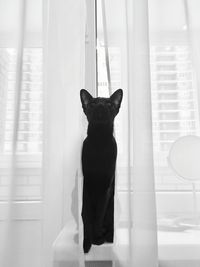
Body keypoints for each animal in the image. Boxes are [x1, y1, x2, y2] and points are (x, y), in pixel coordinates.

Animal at [80, 89, 122, 254]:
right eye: (92, 103)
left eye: (109, 104)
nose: (100, 106)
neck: (99, 141)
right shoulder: (87, 184)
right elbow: (87, 216)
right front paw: (87, 243)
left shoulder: (106, 187)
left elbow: (98, 215)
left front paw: (96, 239)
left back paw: (107, 237)